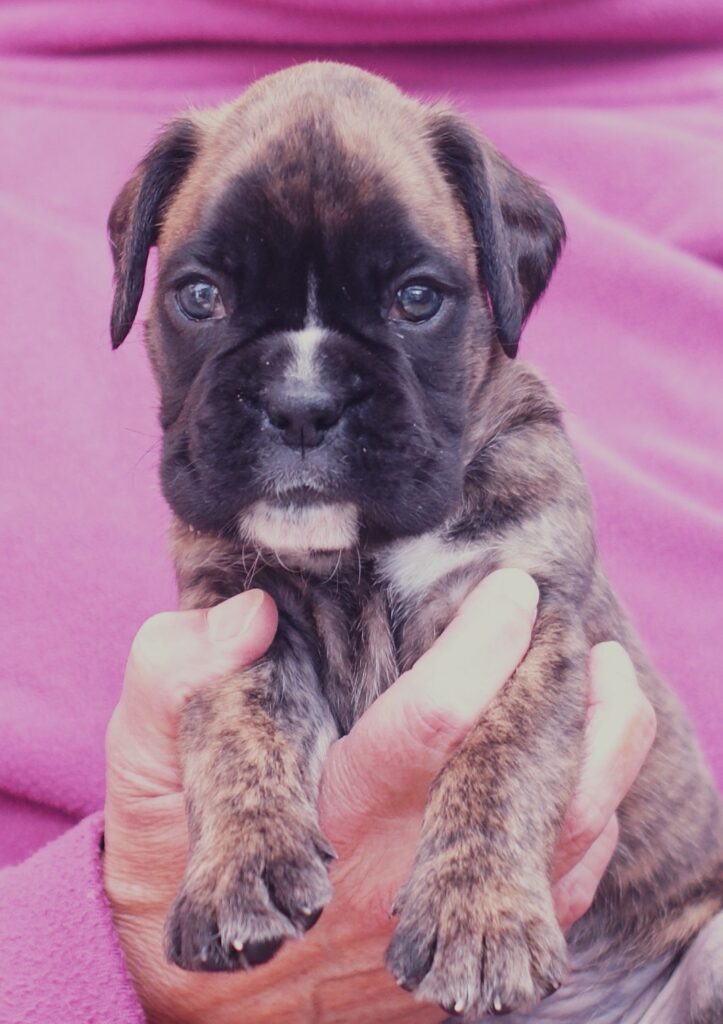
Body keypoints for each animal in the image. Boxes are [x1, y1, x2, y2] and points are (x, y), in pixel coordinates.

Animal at [108, 62, 722, 1021]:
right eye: (201, 296)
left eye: (416, 299)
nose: (301, 405)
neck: (357, 554)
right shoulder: (236, 609)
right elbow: (239, 726)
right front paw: (238, 871)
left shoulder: (523, 613)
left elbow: (498, 764)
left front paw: (479, 916)